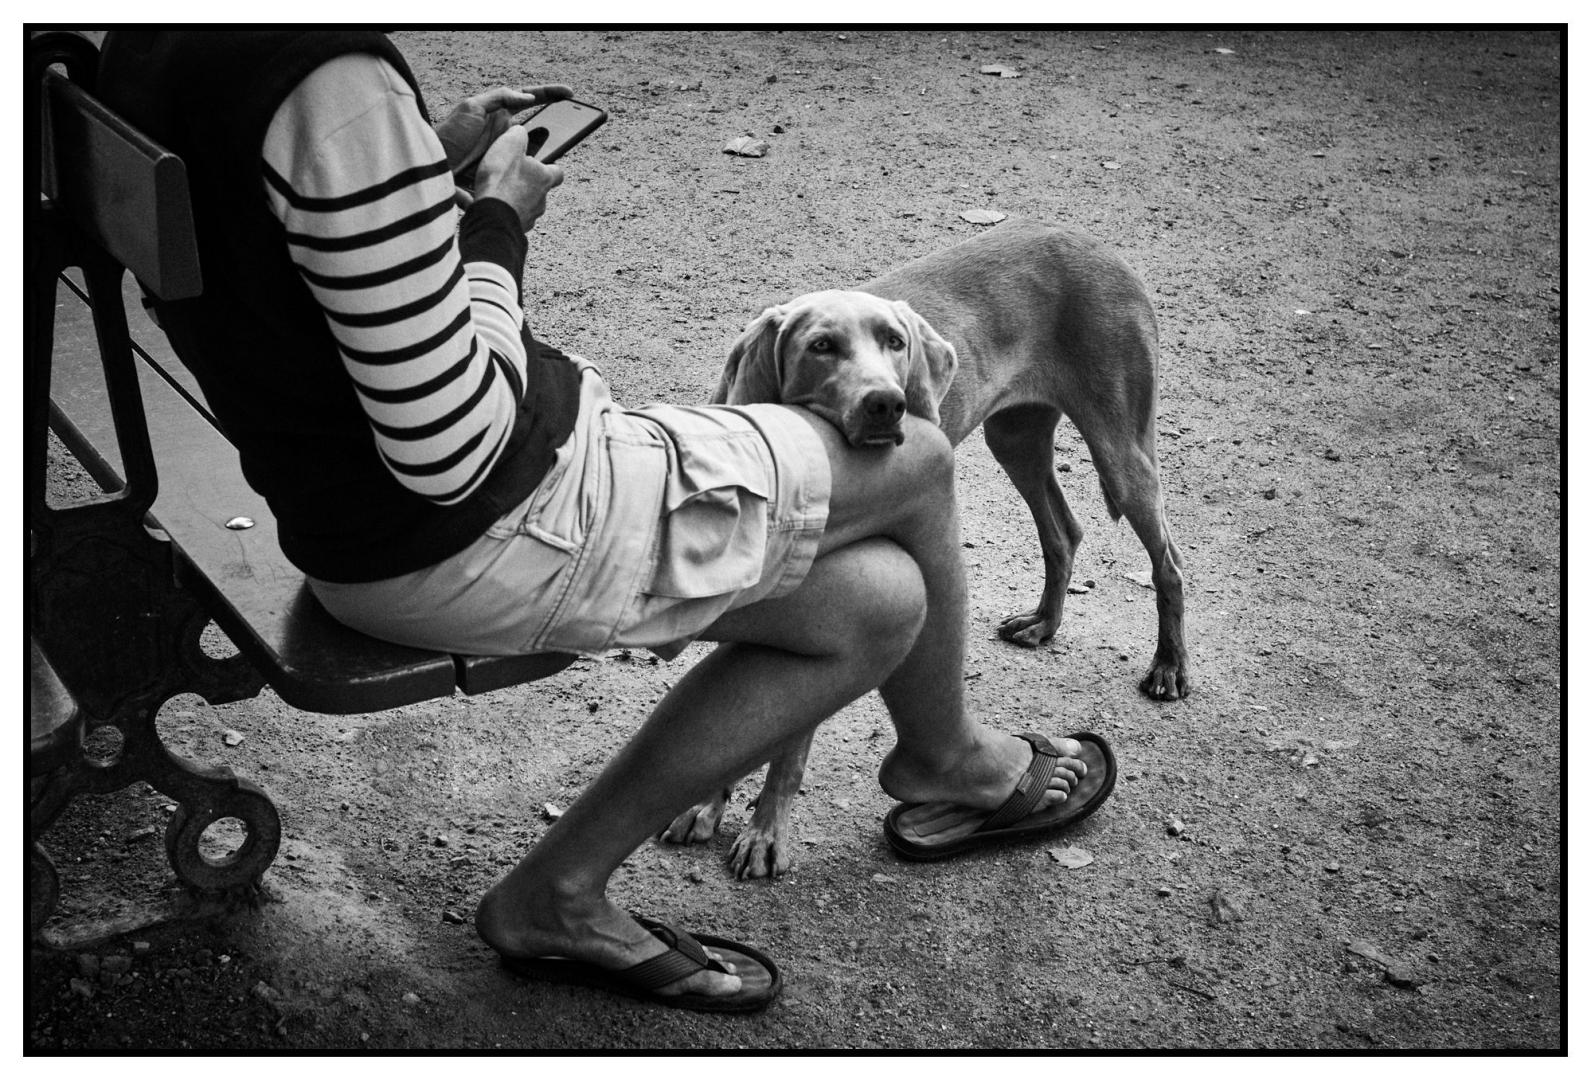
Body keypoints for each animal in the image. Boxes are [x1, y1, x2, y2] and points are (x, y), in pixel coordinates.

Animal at [661, 219, 1188, 878]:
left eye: (895, 342)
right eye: (820, 347)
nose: (888, 403)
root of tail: (1094, 244)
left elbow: (788, 746)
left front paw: (765, 834)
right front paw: (705, 805)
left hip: (1120, 448)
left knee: (1168, 565)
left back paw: (1168, 667)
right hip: (1014, 435)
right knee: (1063, 530)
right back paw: (1043, 622)